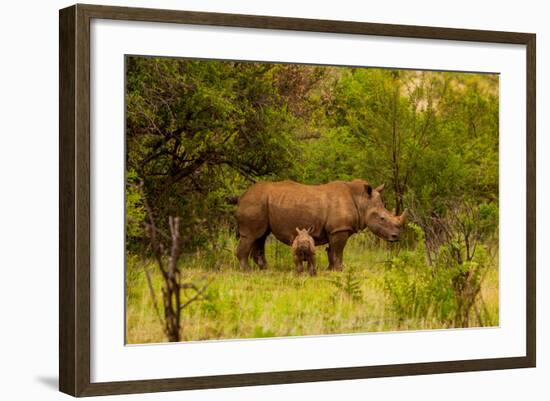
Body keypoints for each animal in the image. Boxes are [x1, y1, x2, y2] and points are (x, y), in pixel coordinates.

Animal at [235, 179, 408, 270]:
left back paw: (265, 269)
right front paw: (340, 269)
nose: (396, 237)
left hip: (261, 204)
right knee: (251, 235)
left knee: (261, 236)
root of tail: (241, 197)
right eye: (382, 218)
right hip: (255, 202)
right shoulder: (339, 229)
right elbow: (338, 250)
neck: (362, 201)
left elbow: (332, 251)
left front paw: (331, 270)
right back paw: (247, 271)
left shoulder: (334, 230)